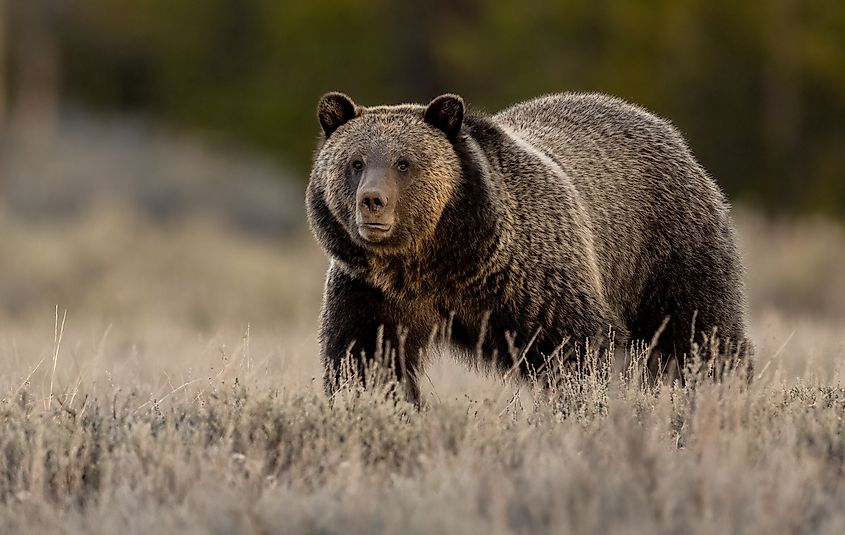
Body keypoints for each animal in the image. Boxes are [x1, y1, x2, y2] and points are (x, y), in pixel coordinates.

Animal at [306, 91, 751, 403]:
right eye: (356, 161)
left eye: (404, 162)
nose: (372, 200)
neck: (434, 262)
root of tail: (667, 130)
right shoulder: (371, 291)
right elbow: (365, 360)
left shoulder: (529, 277)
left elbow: (578, 347)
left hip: (666, 245)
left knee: (701, 331)